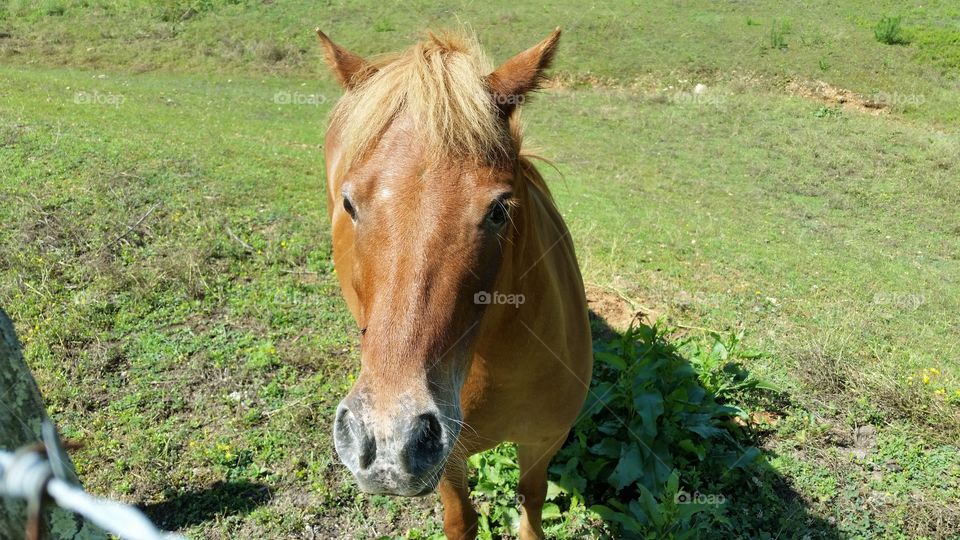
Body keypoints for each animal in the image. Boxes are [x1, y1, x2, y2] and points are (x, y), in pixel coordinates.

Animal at [317, 27, 592, 539]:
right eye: (349, 204)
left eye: (500, 209)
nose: (386, 441)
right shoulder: (447, 458)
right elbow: (461, 518)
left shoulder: (543, 442)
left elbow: (532, 503)